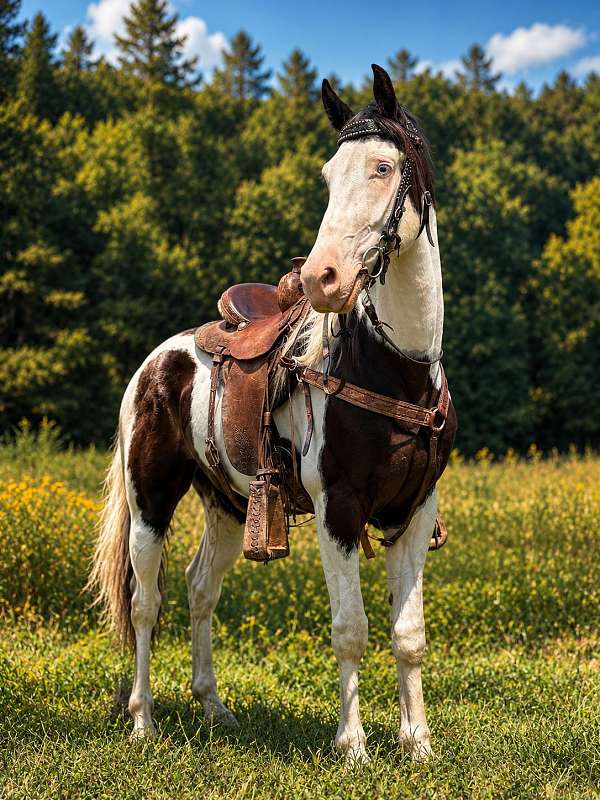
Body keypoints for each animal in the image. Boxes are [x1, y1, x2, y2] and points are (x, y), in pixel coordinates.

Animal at [88, 63, 457, 763]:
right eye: (329, 174)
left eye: (383, 167)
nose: (322, 279)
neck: (394, 366)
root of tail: (156, 362)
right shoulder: (338, 510)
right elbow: (350, 629)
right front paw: (353, 747)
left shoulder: (416, 512)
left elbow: (410, 634)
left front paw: (419, 746)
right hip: (151, 498)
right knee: (147, 602)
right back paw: (144, 719)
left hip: (229, 507)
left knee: (200, 589)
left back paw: (215, 709)